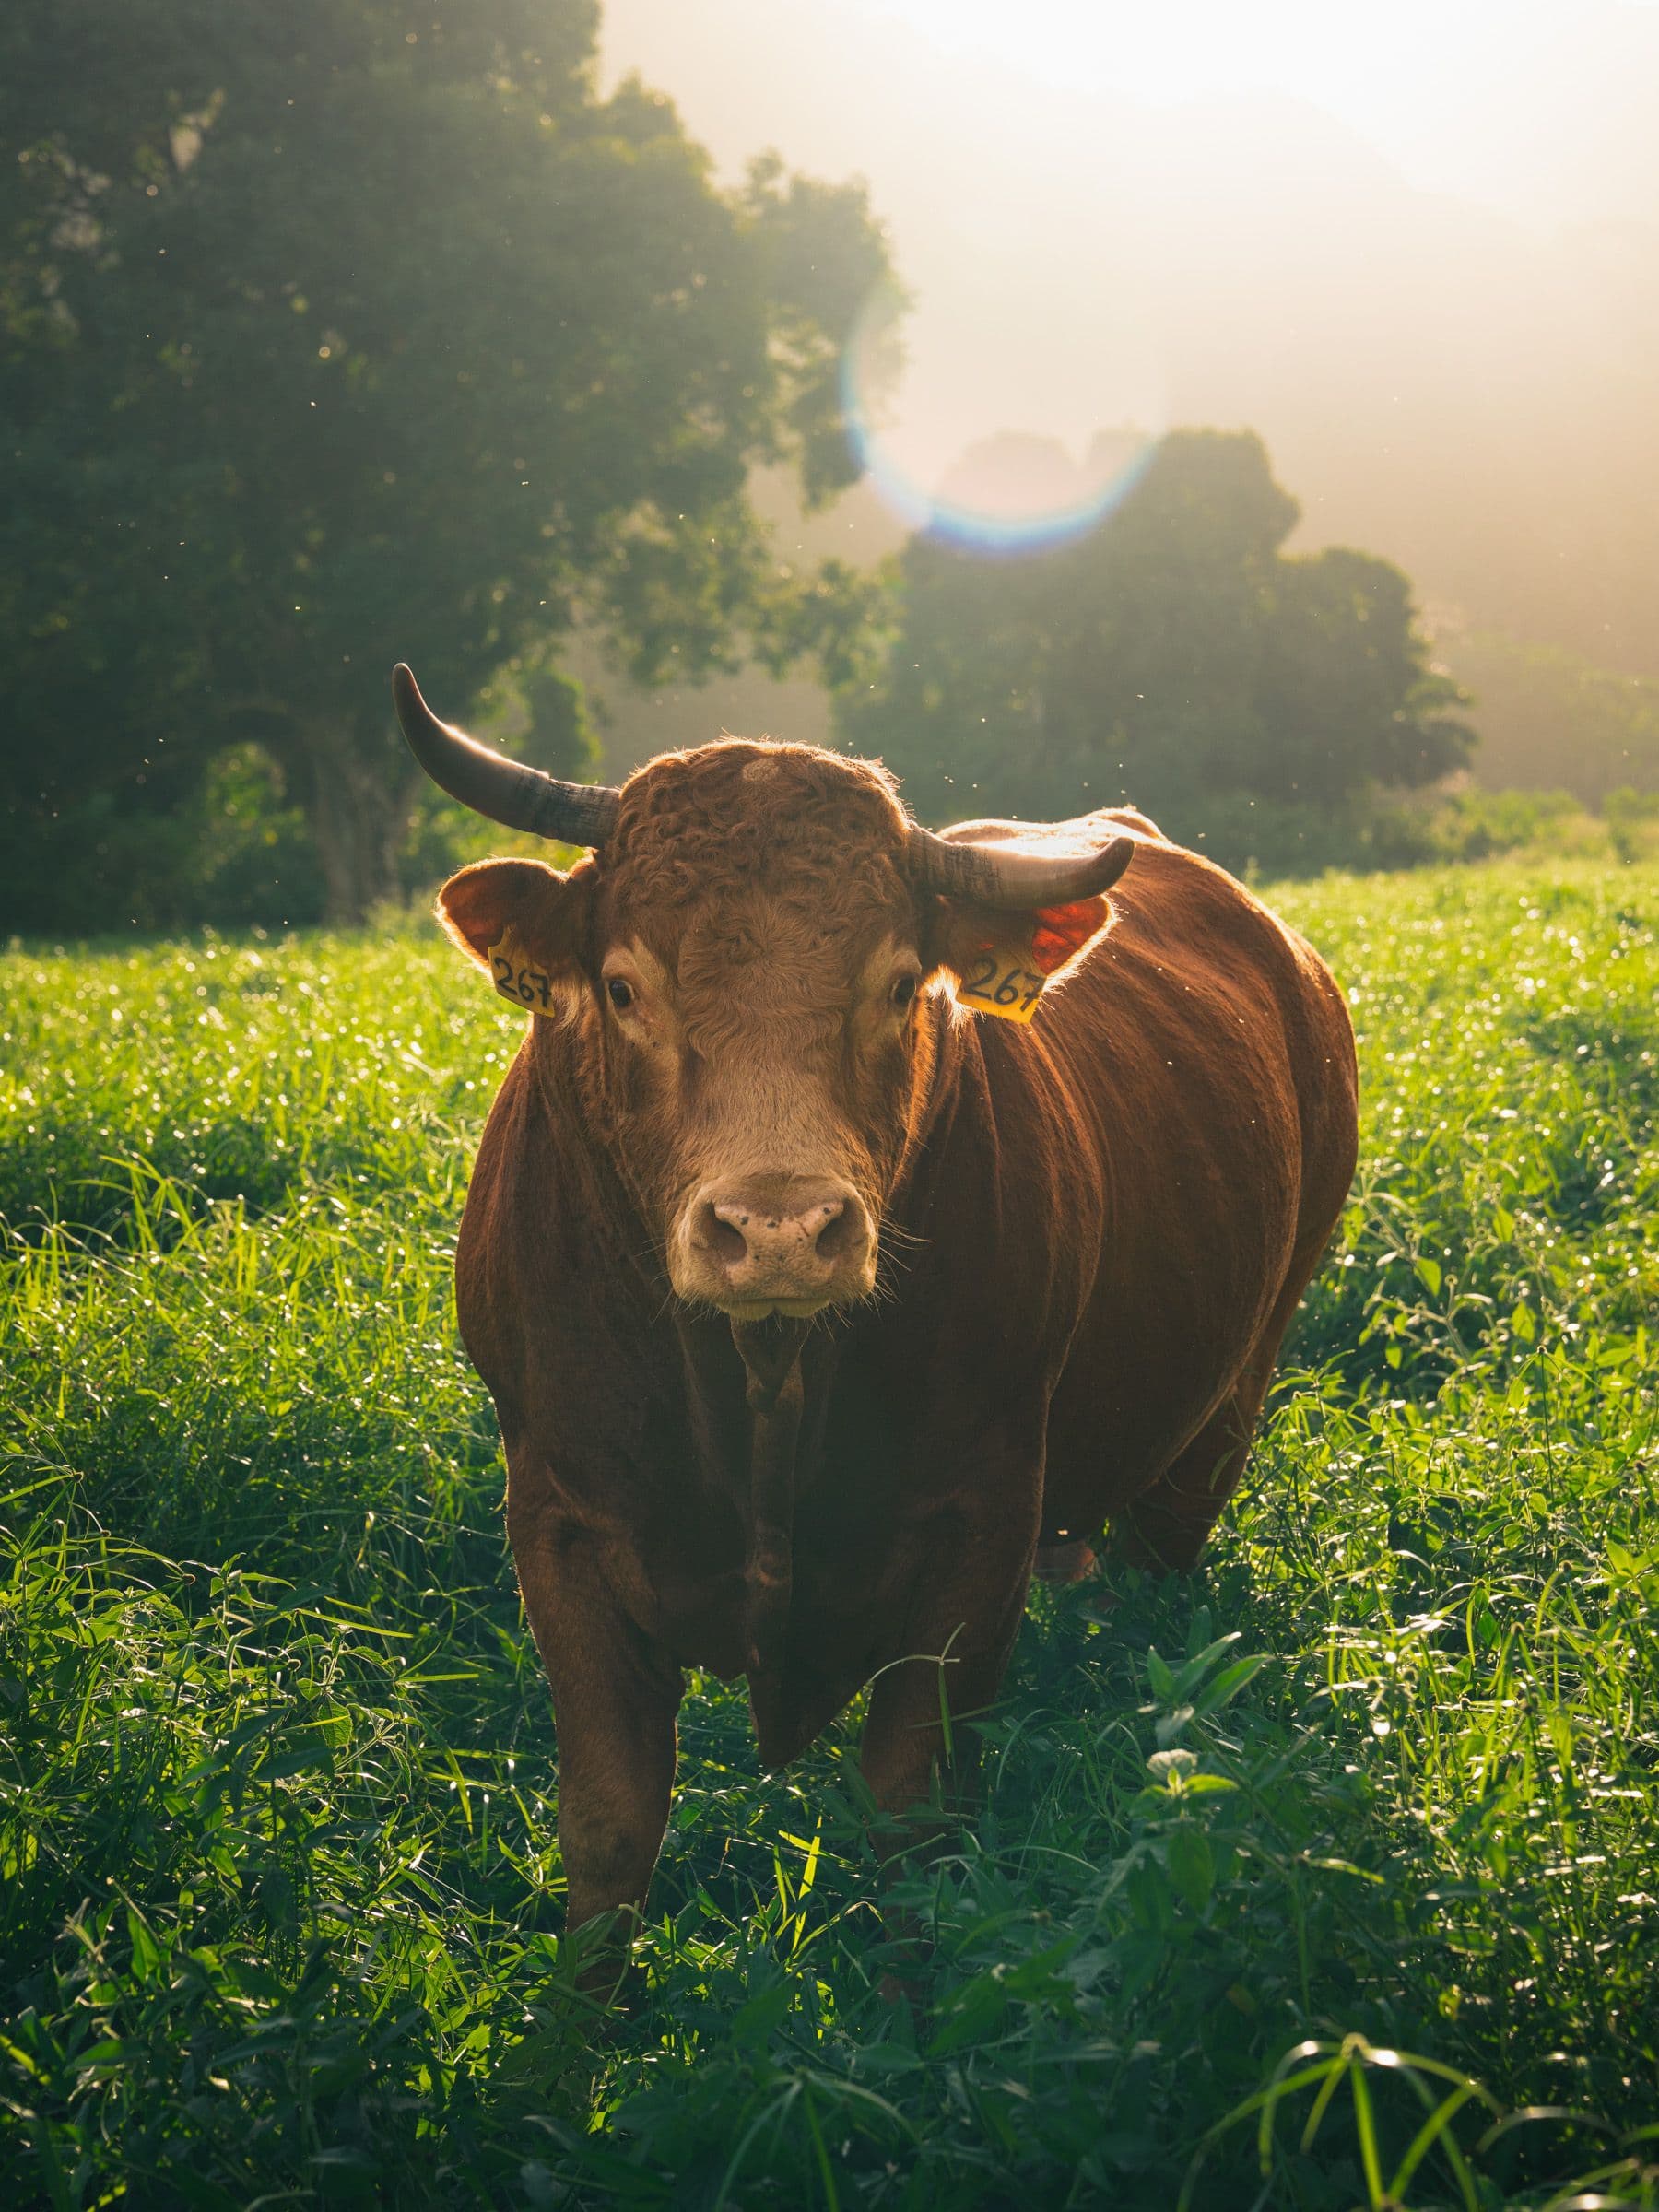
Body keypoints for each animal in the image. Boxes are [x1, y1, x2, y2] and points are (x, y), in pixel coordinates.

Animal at [391, 662, 1358, 1978]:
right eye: (626, 987)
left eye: (901, 986)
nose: (779, 1230)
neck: (762, 1379)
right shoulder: (560, 1518)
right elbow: (609, 1823)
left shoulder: (980, 1524)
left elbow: (912, 1815)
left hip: (1219, 1418)